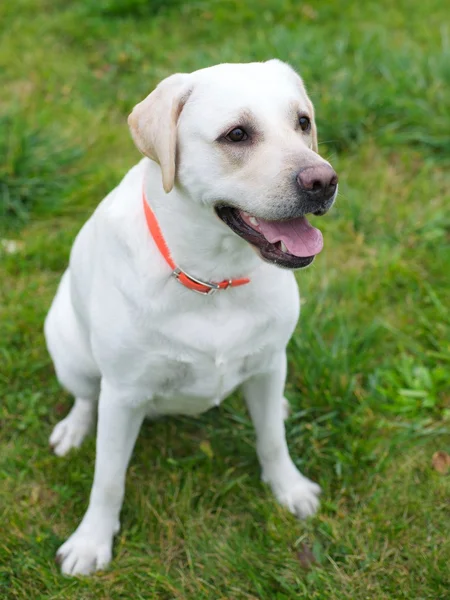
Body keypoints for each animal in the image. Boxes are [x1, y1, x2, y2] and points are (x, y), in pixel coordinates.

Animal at [44, 58, 338, 576]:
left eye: (303, 122)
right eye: (237, 134)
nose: (323, 181)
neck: (214, 278)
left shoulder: (270, 361)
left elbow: (272, 440)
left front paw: (289, 489)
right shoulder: (124, 394)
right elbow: (108, 477)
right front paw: (91, 541)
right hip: (70, 352)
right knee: (85, 398)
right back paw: (74, 430)